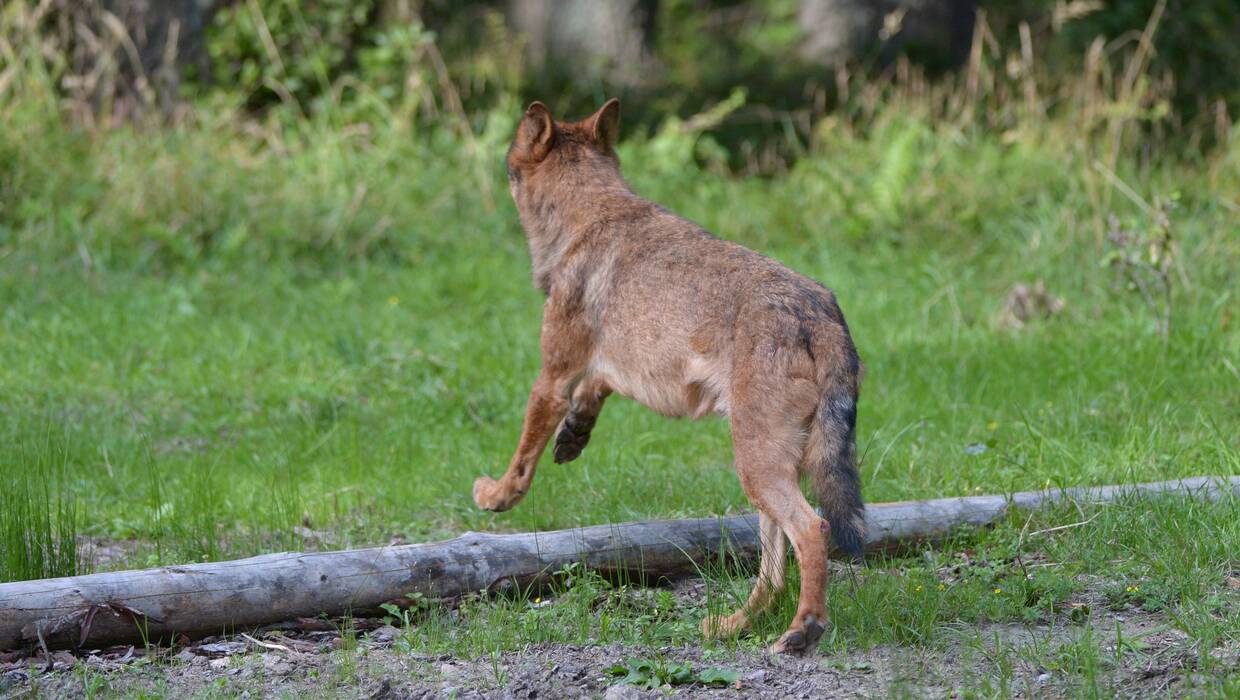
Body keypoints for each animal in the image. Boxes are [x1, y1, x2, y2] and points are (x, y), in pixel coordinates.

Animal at [468, 99, 868, 654]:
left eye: (507, 168)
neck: (591, 212)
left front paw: (496, 495)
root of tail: (820, 313)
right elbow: (596, 390)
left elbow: (523, 458)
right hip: (765, 472)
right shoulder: (617, 364)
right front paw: (574, 436)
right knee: (773, 570)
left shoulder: (551, 376)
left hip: (757, 467)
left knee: (814, 530)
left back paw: (801, 631)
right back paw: (733, 625)